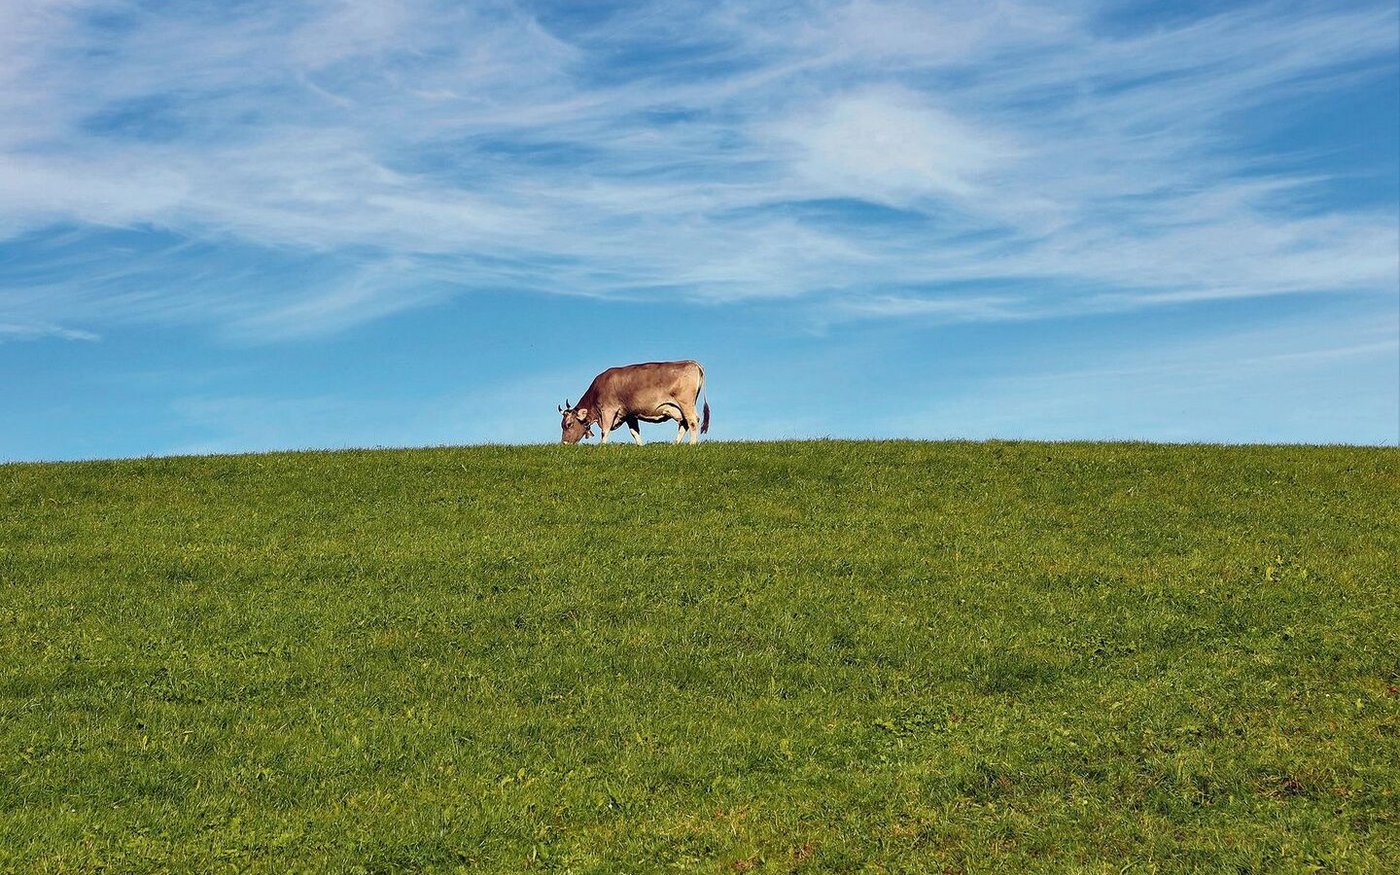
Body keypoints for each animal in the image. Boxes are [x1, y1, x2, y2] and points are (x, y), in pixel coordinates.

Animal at [559, 360, 710, 445]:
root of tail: (691, 362)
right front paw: (640, 446)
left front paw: (602, 446)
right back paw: (675, 444)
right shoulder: (629, 414)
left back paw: (692, 444)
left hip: (686, 404)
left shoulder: (608, 410)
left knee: (692, 421)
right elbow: (634, 432)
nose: (564, 443)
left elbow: (605, 431)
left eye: (569, 424)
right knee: (684, 423)